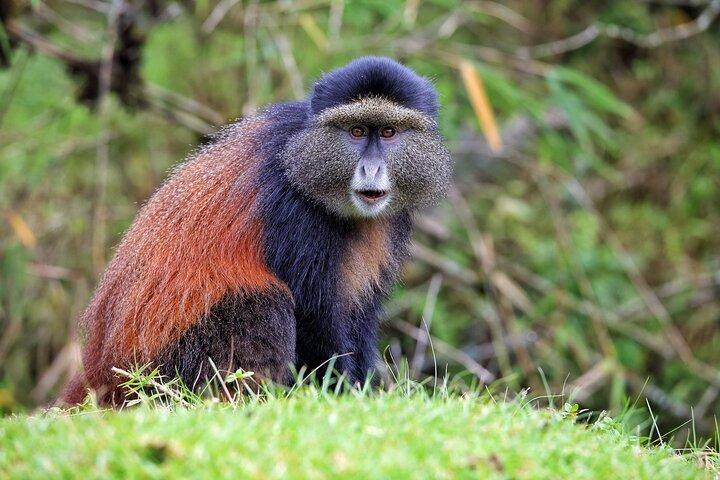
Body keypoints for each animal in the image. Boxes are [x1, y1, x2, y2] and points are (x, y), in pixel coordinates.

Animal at [61, 56, 453, 406]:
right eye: (356, 131)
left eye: (388, 132)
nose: (371, 169)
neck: (302, 160)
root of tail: (100, 373)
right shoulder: (292, 213)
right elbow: (313, 314)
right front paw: (344, 395)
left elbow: (361, 311)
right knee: (267, 302)